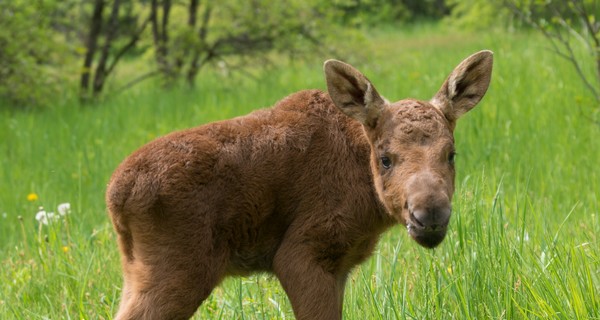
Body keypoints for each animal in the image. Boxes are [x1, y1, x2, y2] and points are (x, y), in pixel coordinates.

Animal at [106, 51, 492, 318]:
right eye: (385, 158)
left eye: (451, 154)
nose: (430, 215)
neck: (366, 194)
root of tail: (115, 197)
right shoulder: (303, 253)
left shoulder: (338, 266)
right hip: (180, 269)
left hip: (138, 272)